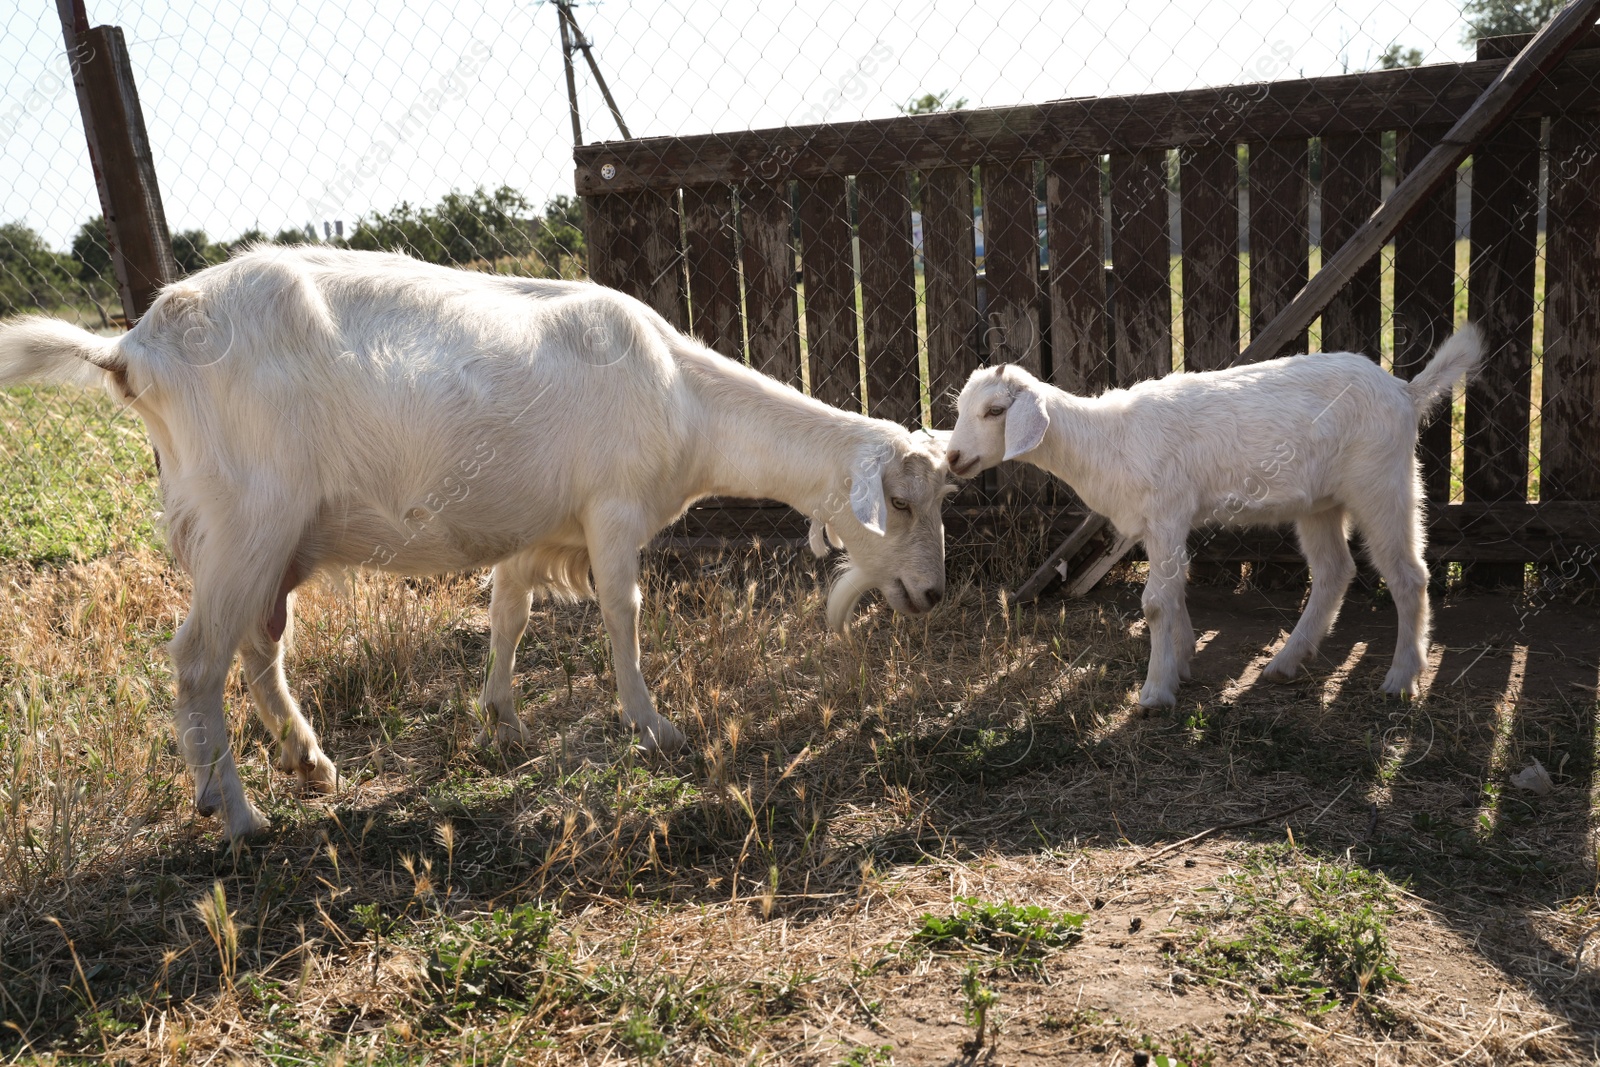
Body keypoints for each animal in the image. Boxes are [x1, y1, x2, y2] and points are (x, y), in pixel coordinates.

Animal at [0, 246, 947, 838]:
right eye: (900, 502)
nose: (933, 593)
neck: (682, 392)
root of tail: (132, 347)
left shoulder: (538, 524)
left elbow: (508, 615)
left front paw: (502, 717)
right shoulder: (610, 511)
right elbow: (624, 615)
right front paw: (655, 726)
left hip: (269, 542)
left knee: (260, 648)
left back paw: (309, 762)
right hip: (244, 524)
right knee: (198, 657)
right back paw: (235, 813)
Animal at [947, 327, 1484, 710]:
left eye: (995, 411)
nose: (952, 458)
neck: (1107, 438)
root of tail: (1405, 391)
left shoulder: (1167, 511)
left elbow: (1155, 603)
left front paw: (1155, 692)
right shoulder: (1161, 523)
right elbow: (1175, 589)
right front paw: (1182, 659)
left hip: (1382, 481)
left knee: (1408, 575)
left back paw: (1401, 679)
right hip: (1322, 502)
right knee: (1335, 571)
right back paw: (1287, 661)